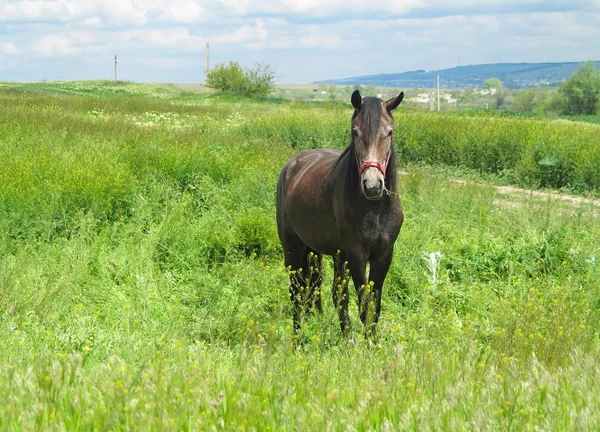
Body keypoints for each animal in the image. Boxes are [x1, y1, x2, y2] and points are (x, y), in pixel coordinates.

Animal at [276, 89, 404, 336]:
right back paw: (298, 337)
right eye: (355, 132)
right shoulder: (356, 254)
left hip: (326, 253)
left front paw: (372, 341)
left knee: (328, 293)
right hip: (293, 248)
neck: (374, 209)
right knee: (297, 292)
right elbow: (364, 306)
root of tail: (291, 166)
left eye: (390, 132)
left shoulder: (384, 255)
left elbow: (374, 307)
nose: (372, 185)